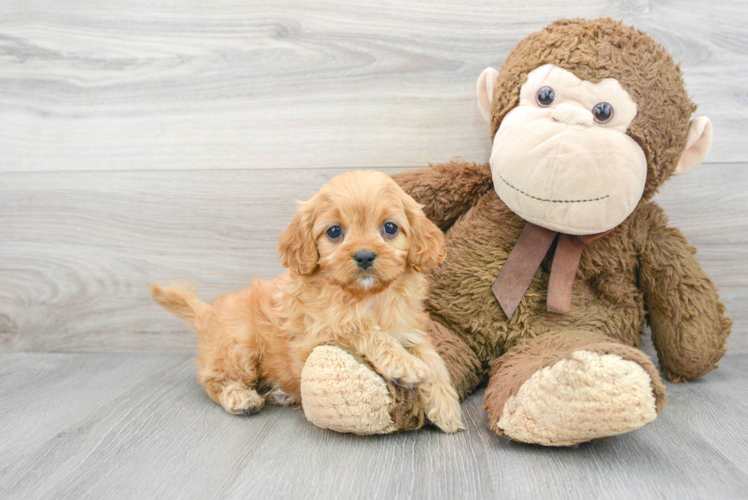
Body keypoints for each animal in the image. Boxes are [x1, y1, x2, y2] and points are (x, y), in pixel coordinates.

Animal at [152, 170, 464, 432]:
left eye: (390, 228)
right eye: (334, 231)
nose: (364, 256)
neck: (365, 297)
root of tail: (206, 313)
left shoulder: (409, 329)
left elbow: (433, 360)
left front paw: (446, 406)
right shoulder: (316, 336)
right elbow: (360, 329)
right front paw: (404, 364)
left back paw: (279, 393)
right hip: (239, 345)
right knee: (211, 378)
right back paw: (240, 397)